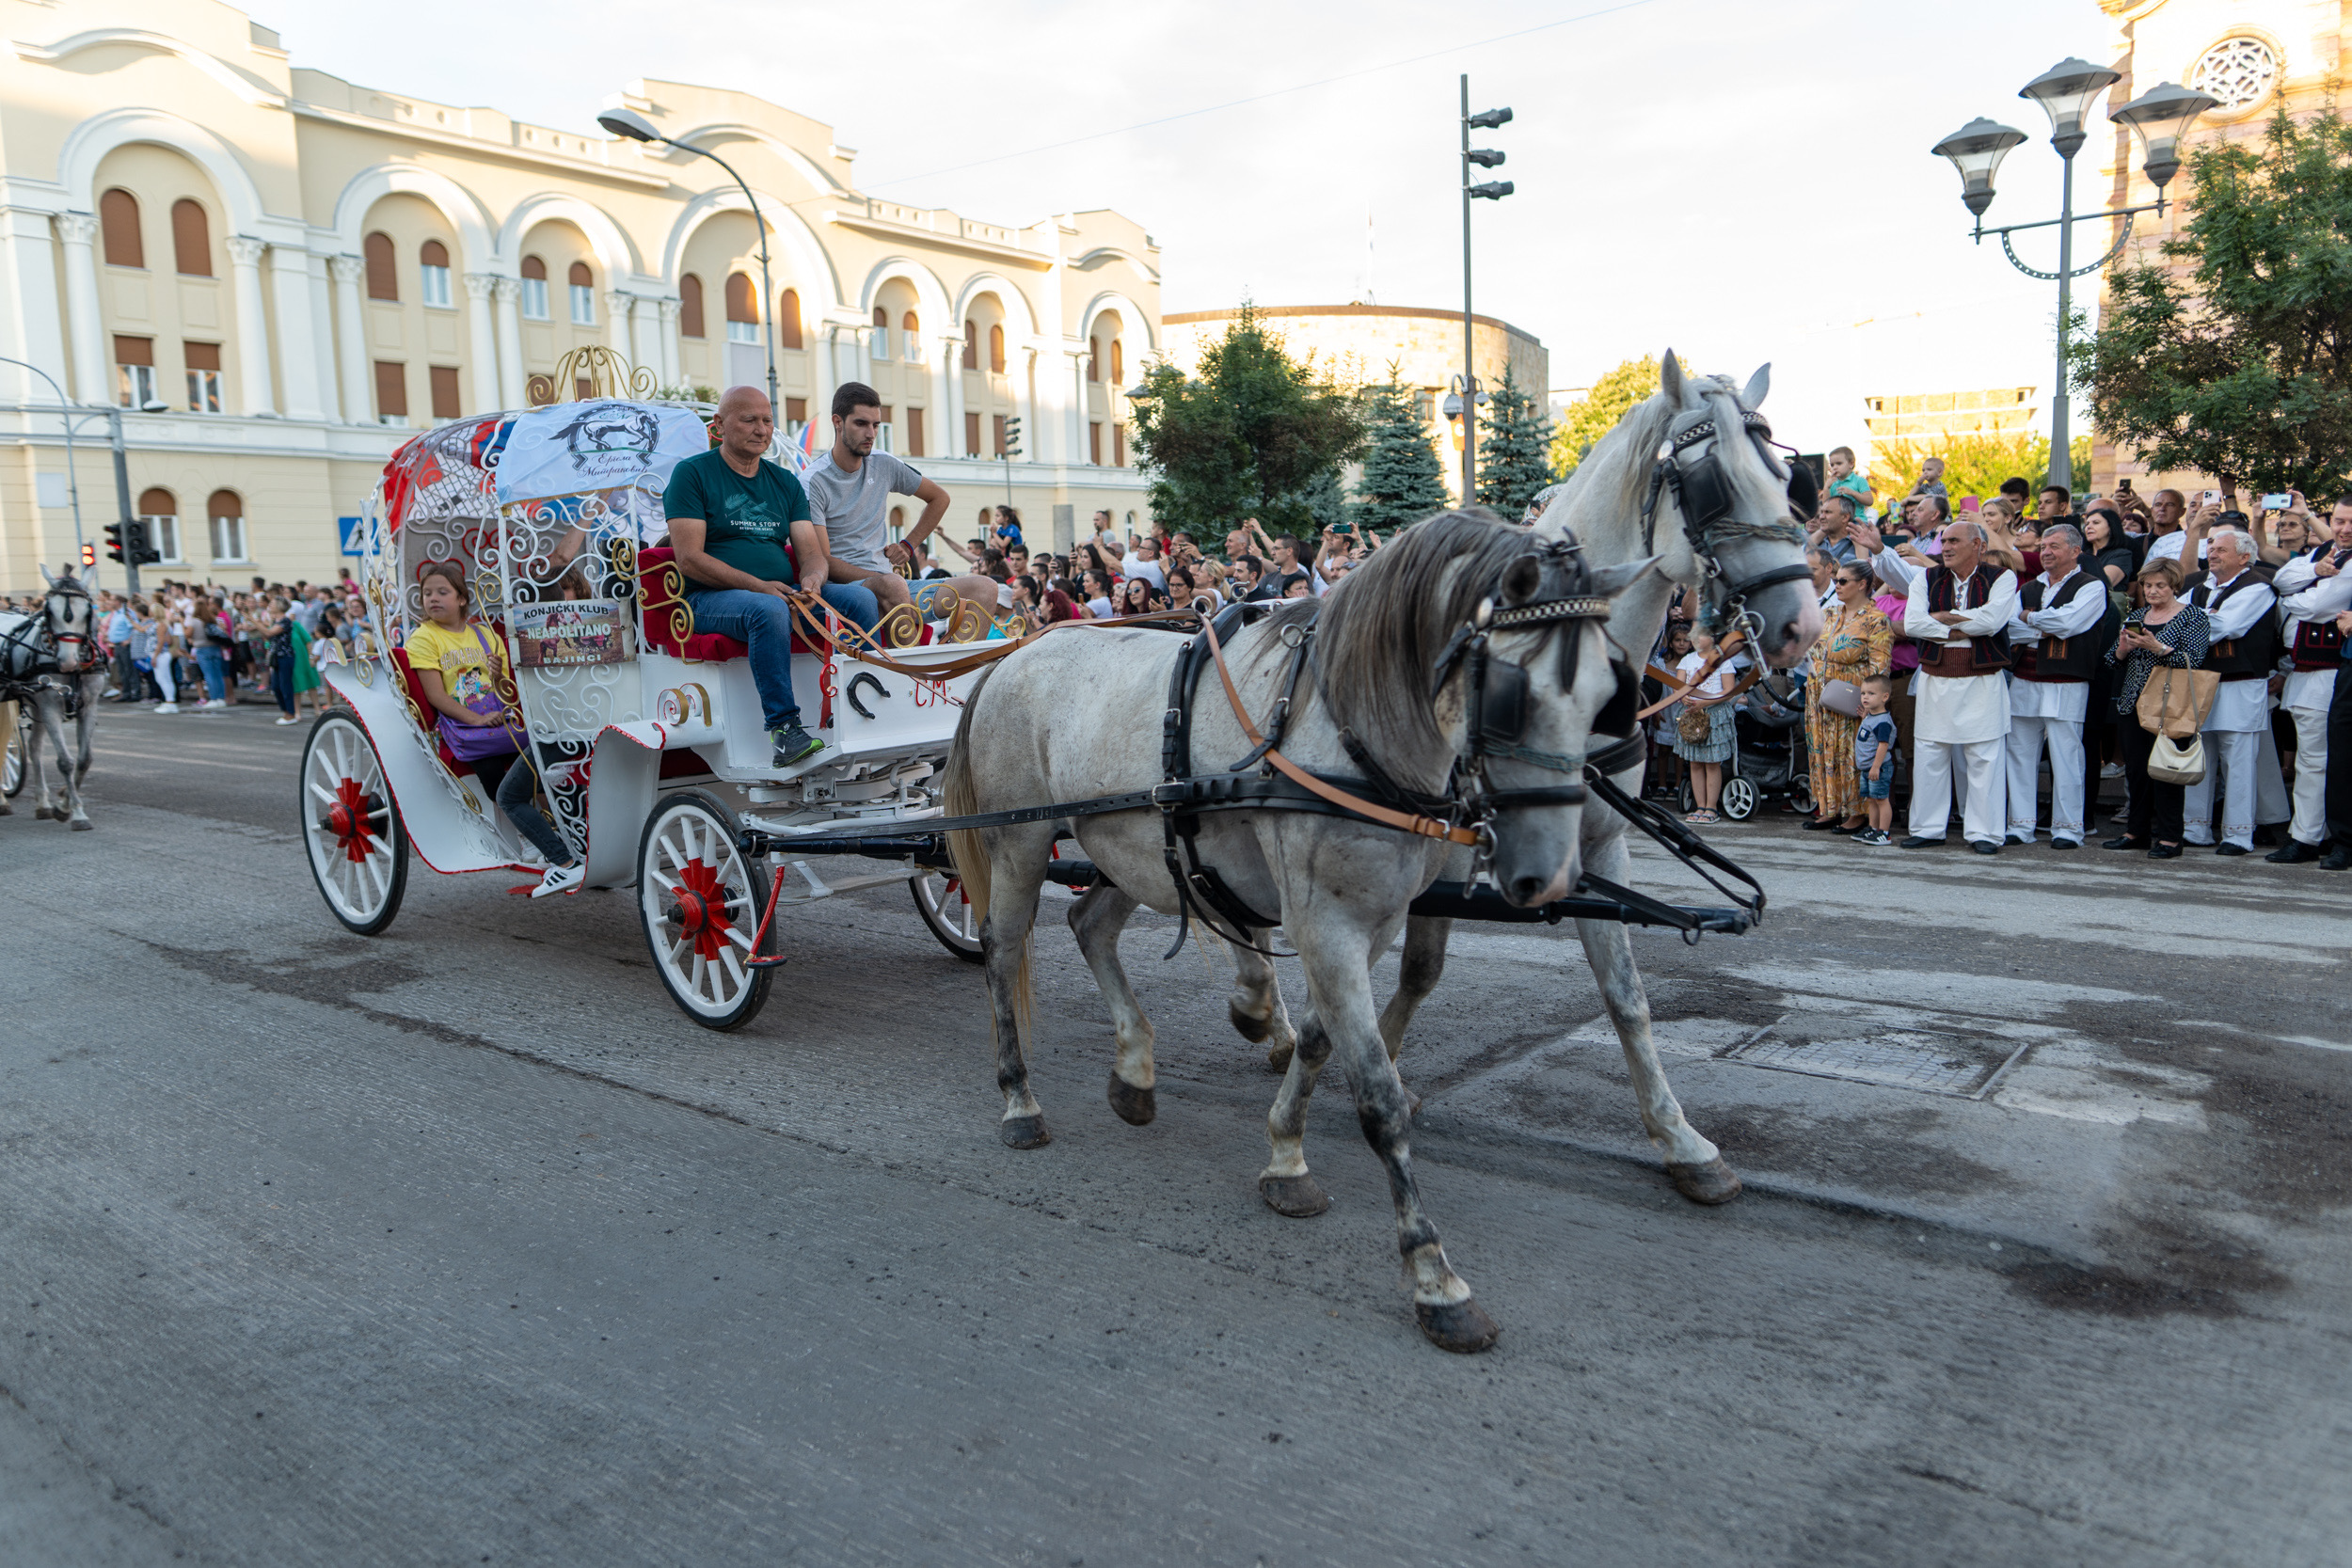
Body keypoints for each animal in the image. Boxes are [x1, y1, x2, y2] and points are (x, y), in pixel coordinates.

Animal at [0, 566, 104, 832]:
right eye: (49, 611)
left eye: (88, 610)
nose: (67, 662)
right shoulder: (50, 707)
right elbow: (65, 761)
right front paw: (77, 813)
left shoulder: (88, 706)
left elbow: (84, 760)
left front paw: (62, 805)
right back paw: (4, 801)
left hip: (31, 704)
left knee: (34, 747)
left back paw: (41, 804)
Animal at [941, 512, 1656, 1354]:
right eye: (1513, 695)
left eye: (1611, 695)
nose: (1551, 876)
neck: (1351, 734)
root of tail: (1015, 653)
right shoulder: (1327, 922)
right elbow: (1378, 1093)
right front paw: (1433, 1274)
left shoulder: (1365, 924)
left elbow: (1319, 1039)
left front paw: (1286, 1155)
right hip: (1019, 843)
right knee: (1002, 950)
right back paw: (1019, 1100)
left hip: (1134, 848)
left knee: (1088, 926)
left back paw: (1135, 1070)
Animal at [1364, 355, 1816, 1203]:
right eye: (1715, 484)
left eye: (1786, 474)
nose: (1805, 623)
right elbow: (1412, 964)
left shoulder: (1601, 849)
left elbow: (1627, 996)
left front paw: (1681, 1141)